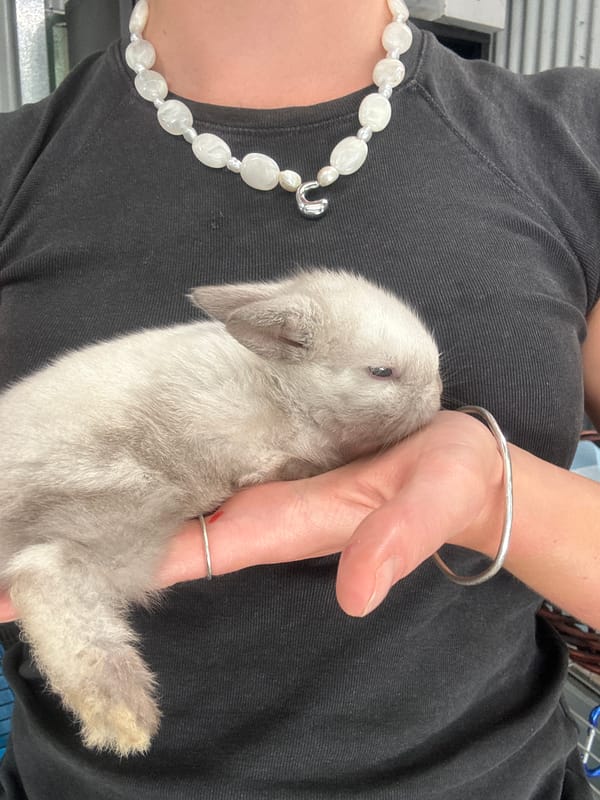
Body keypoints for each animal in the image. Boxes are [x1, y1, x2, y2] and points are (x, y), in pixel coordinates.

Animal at [0, 268, 441, 757]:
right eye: (382, 372)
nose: (437, 397)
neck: (282, 387)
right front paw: (294, 467)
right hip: (128, 504)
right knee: (44, 574)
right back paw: (125, 717)